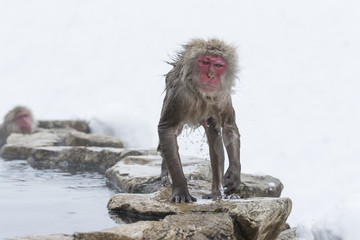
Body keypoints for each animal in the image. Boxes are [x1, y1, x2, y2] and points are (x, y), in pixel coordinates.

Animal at [158, 39, 240, 202]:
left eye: (218, 65)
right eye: (205, 62)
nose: (210, 75)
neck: (202, 95)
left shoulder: (223, 96)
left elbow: (229, 128)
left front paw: (234, 174)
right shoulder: (179, 96)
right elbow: (167, 130)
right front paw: (181, 190)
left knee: (214, 132)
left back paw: (215, 192)